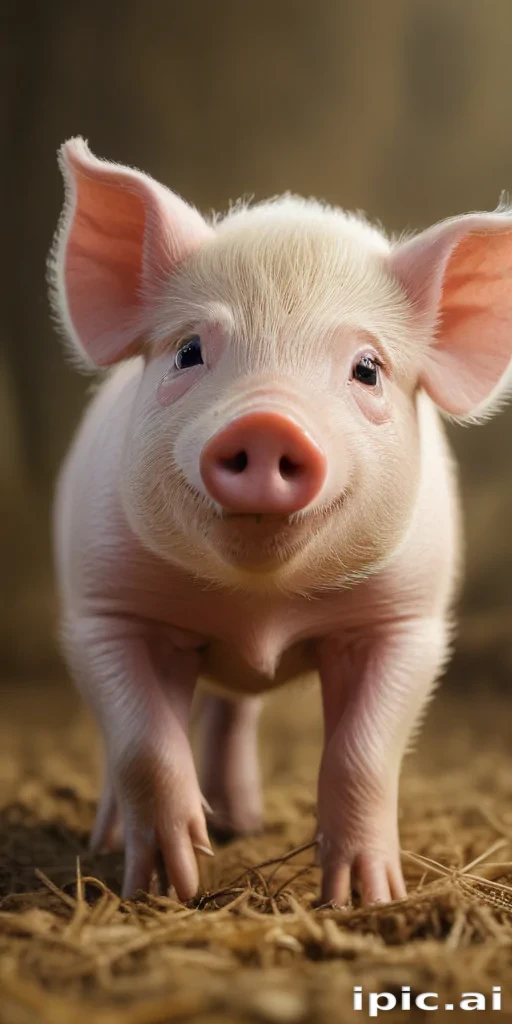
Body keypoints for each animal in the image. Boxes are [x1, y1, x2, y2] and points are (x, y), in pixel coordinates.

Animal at [49, 137, 512, 906]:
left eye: (367, 369)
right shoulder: (102, 610)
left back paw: (242, 822)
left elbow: (362, 754)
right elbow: (144, 744)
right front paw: (169, 884)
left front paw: (366, 897)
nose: (267, 422)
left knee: (234, 710)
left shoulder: (407, 623)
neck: (259, 607)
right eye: (188, 351)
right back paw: (123, 841)